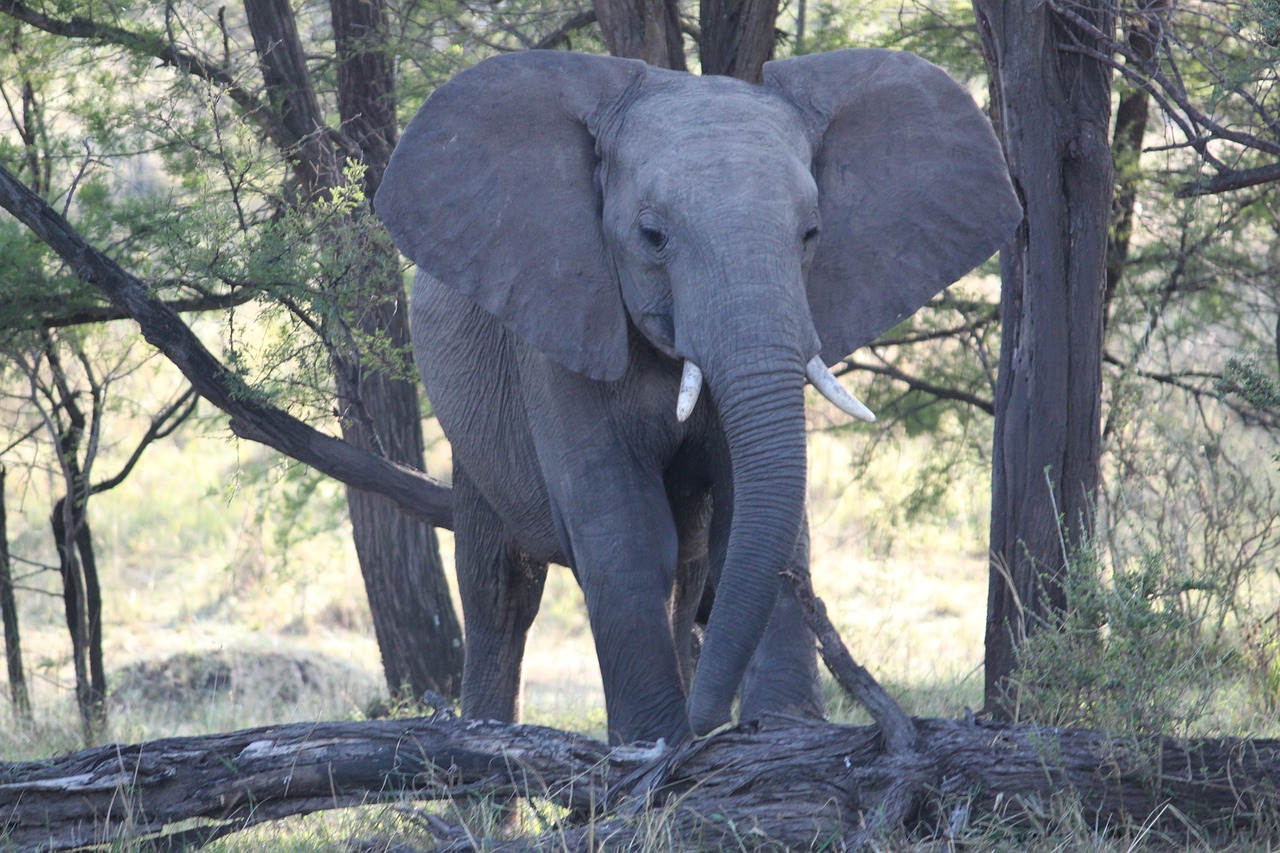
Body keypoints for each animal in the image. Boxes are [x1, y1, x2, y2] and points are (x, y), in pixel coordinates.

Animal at [373, 46, 1024, 742]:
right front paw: (658, 744)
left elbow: (753, 521)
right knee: (502, 590)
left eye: (811, 234)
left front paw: (780, 729)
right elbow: (625, 535)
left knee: (685, 580)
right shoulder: (560, 327)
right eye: (652, 236)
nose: (709, 724)